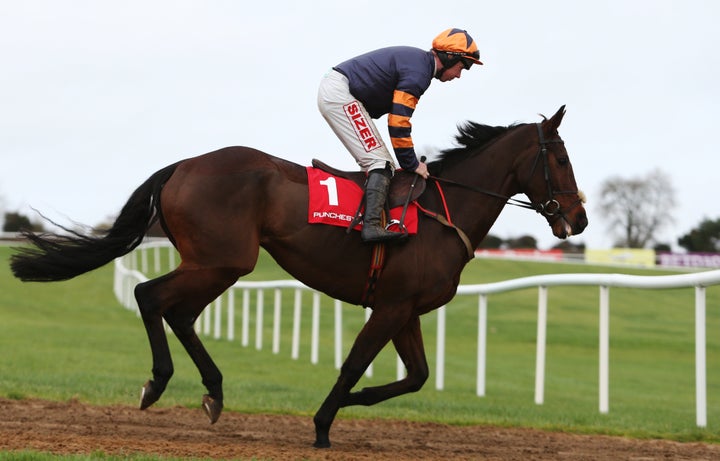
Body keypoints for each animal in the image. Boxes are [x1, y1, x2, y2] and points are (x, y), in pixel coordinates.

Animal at [9, 103, 584, 446]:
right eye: (559, 157)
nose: (577, 219)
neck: (444, 213)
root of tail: (181, 165)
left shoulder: (406, 310)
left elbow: (417, 376)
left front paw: (349, 405)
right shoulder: (391, 306)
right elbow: (354, 364)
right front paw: (324, 423)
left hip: (215, 263)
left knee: (180, 312)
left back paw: (213, 391)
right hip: (223, 261)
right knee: (152, 297)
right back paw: (159, 383)